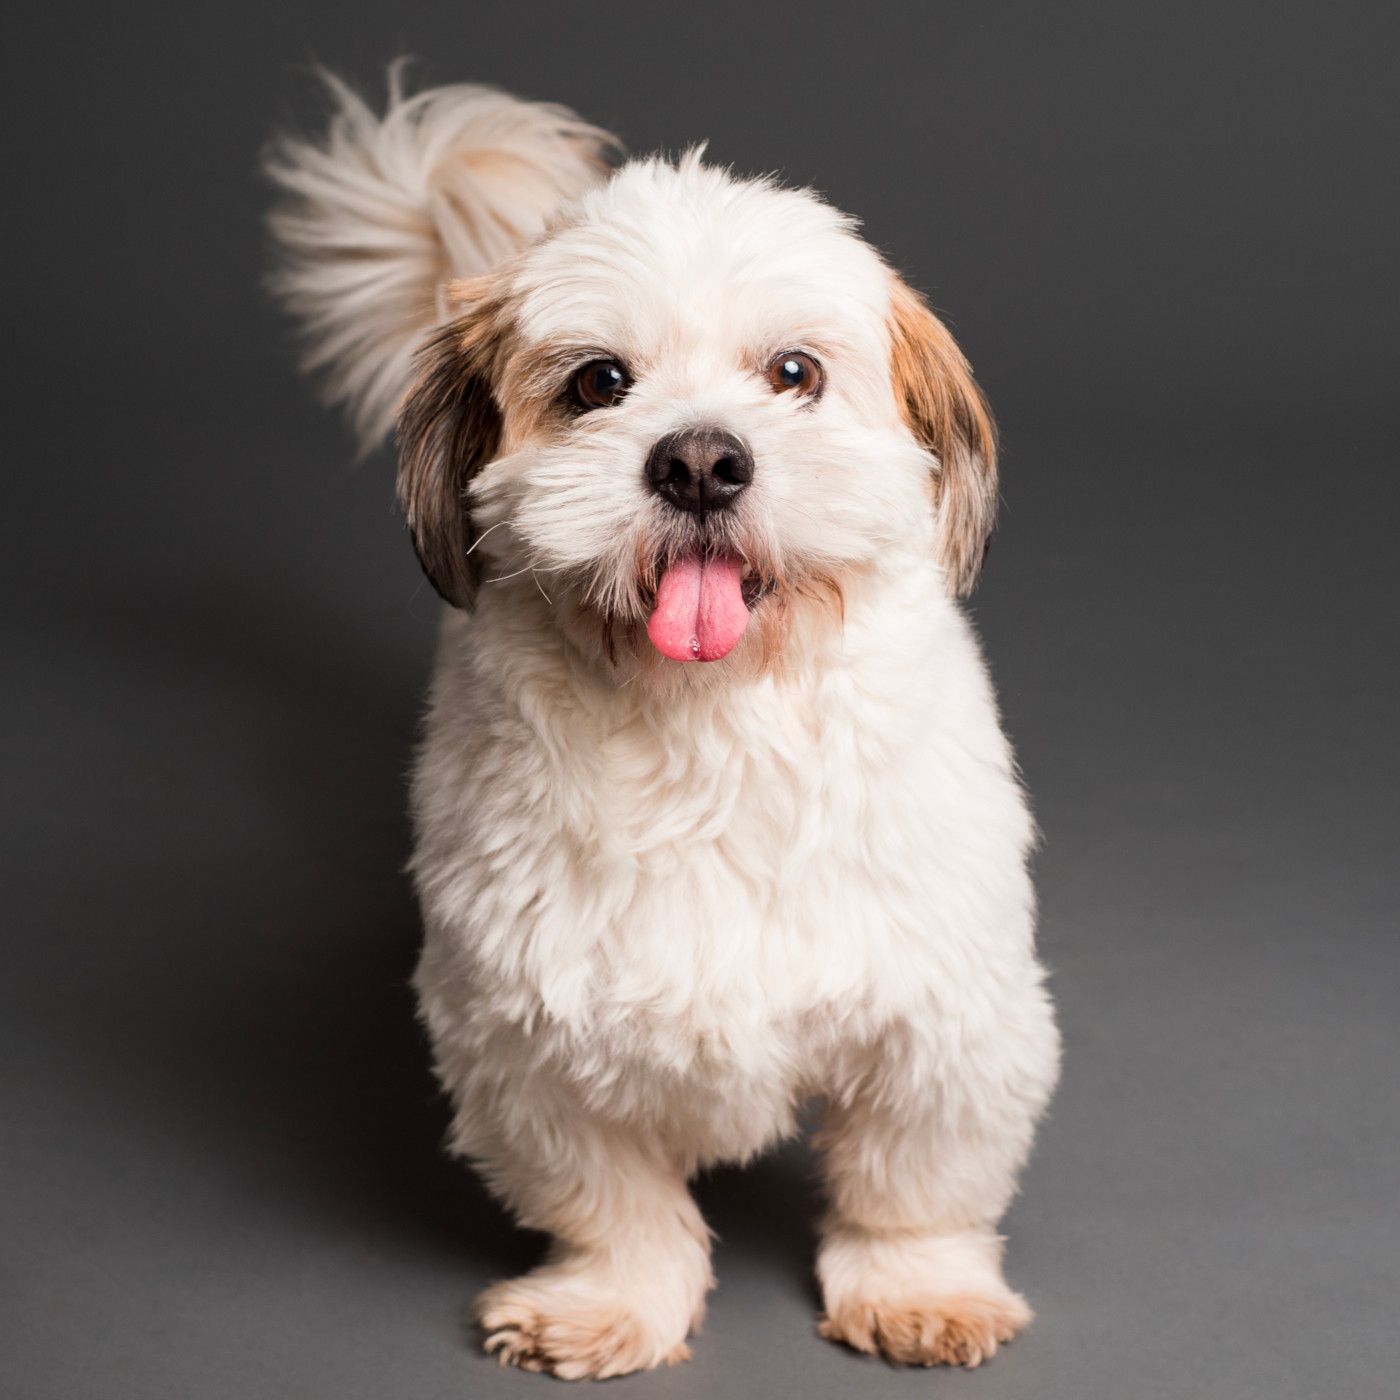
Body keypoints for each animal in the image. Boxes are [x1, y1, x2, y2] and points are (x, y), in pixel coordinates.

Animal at [267, 65, 1058, 1377]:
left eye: (792, 373)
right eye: (598, 382)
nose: (697, 459)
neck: (711, 724)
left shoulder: (944, 1014)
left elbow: (911, 1179)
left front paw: (918, 1285)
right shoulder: (523, 1038)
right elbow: (612, 1199)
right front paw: (609, 1299)